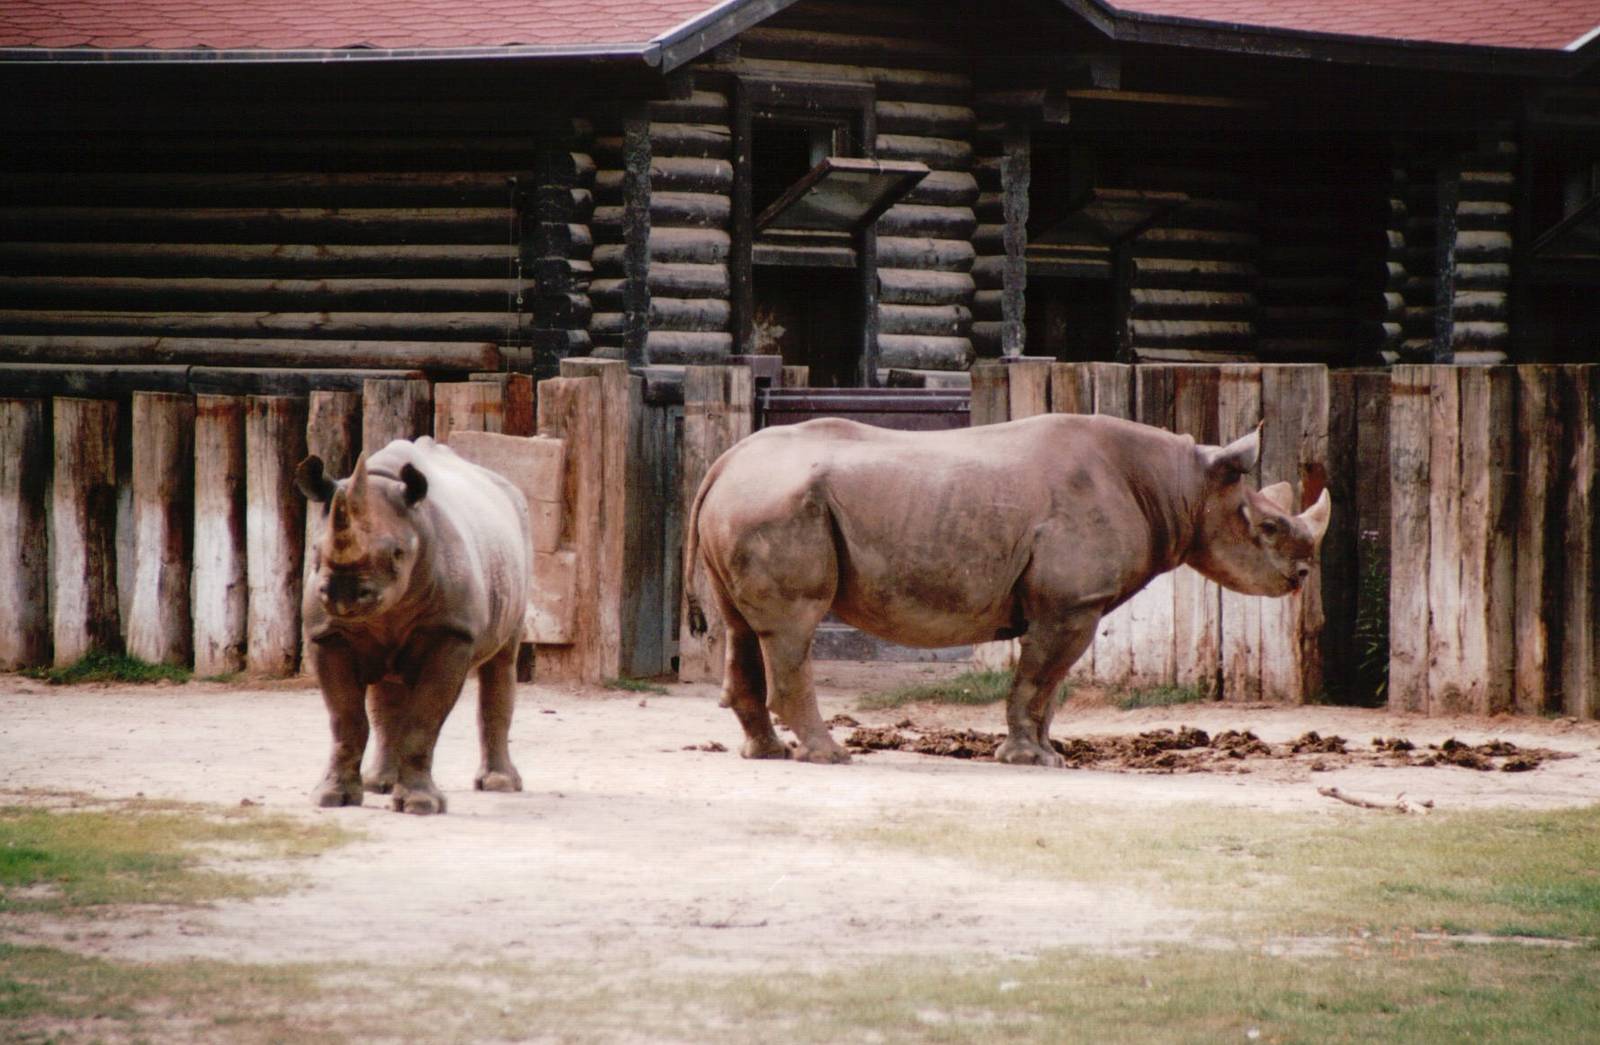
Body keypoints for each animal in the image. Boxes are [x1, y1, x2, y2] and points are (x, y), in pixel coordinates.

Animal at [295, 437, 530, 814]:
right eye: (315, 550)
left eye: (397, 554)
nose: (343, 595)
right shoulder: (328, 635)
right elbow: (346, 719)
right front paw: (332, 797)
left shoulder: (451, 633)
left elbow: (424, 720)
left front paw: (420, 804)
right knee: (385, 690)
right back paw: (378, 783)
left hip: (517, 541)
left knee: (502, 659)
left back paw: (500, 785)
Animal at [684, 414, 1330, 767]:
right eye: (1268, 527)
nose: (1301, 578)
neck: (1181, 486)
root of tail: (725, 461)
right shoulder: (1071, 603)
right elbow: (1037, 680)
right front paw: (1030, 759)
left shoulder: (1069, 605)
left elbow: (1051, 686)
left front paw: (1052, 754)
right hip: (778, 503)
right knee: (794, 626)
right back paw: (831, 756)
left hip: (755, 499)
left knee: (742, 627)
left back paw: (768, 754)